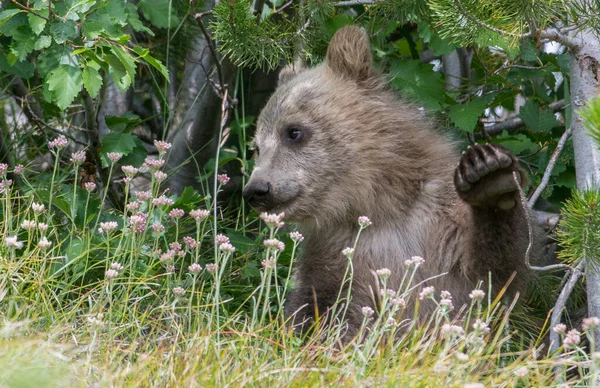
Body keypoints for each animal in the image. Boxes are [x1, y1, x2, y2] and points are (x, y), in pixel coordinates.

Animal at [241, 25, 540, 338]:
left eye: (294, 132)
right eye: (257, 146)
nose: (256, 190)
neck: (379, 202)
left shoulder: (441, 226)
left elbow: (497, 273)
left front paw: (490, 183)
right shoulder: (335, 250)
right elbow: (318, 305)